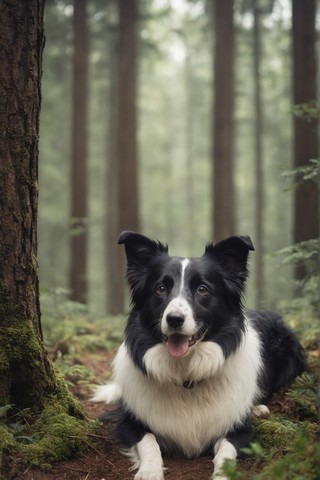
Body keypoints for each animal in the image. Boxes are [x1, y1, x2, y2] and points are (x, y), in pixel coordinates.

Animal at [92, 232, 304, 480]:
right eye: (160, 288)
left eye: (202, 289)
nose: (174, 319)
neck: (185, 372)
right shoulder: (129, 423)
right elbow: (149, 441)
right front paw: (150, 471)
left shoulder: (240, 431)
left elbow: (225, 453)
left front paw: (222, 475)